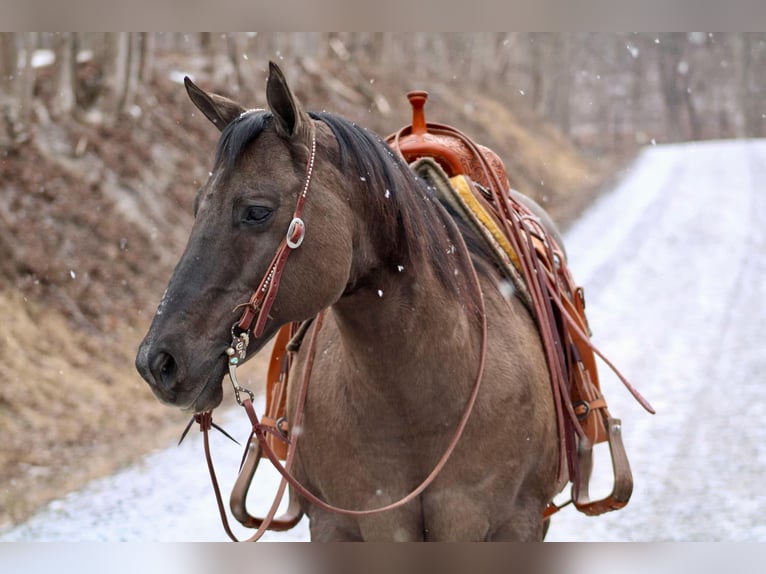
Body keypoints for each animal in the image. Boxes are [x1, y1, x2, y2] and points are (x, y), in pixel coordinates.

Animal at [135, 64, 564, 544]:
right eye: (197, 206)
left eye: (256, 211)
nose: (156, 362)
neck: (417, 405)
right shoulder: (342, 525)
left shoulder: (514, 524)